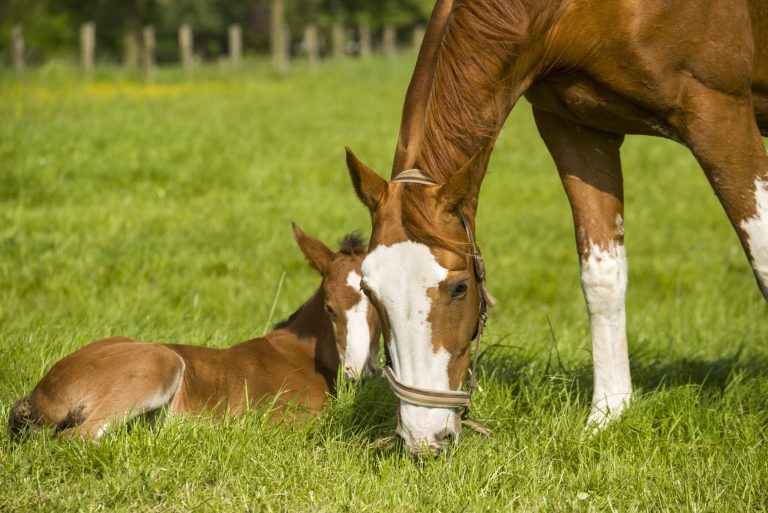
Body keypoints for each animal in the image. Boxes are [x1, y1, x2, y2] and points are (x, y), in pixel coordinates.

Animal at [8, 224, 380, 441]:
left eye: (379, 304)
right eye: (329, 307)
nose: (357, 370)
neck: (299, 354)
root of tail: (42, 391)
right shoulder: (285, 420)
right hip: (162, 362)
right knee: (79, 435)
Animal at [345, 0, 768, 453]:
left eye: (459, 288)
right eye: (369, 292)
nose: (422, 437)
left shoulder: (718, 113)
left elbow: (762, 260)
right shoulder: (578, 128)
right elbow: (602, 277)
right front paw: (608, 413)